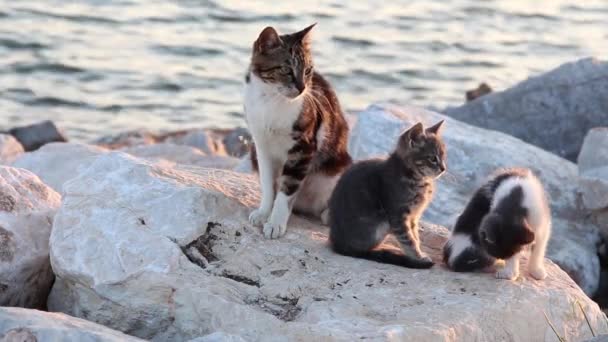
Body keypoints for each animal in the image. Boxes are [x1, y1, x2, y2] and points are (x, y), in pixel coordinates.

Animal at [328, 121, 446, 268]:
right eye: (433, 158)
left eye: (444, 157)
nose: (443, 168)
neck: (416, 178)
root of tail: (339, 245)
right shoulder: (398, 216)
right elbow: (409, 240)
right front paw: (418, 257)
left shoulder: (414, 217)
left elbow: (415, 237)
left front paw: (419, 252)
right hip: (381, 223)